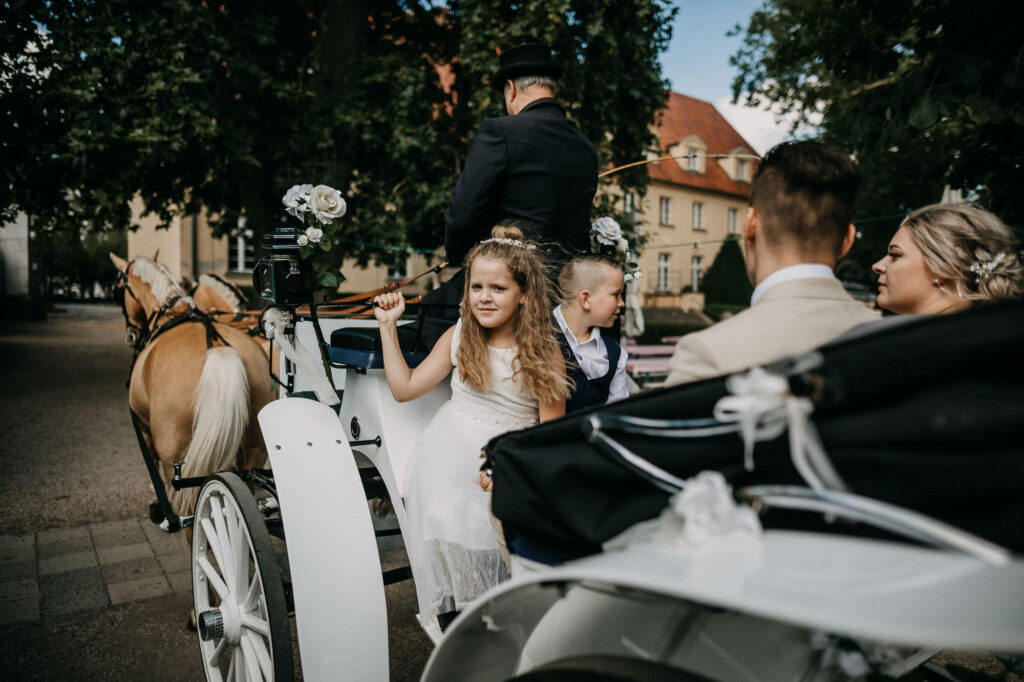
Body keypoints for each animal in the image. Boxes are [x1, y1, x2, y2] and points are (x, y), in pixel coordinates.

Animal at [111, 251, 276, 512]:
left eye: (118, 290)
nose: (131, 335)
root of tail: (218, 349)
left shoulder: (146, 427)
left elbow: (152, 464)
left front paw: (155, 500)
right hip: (254, 449)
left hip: (177, 458)